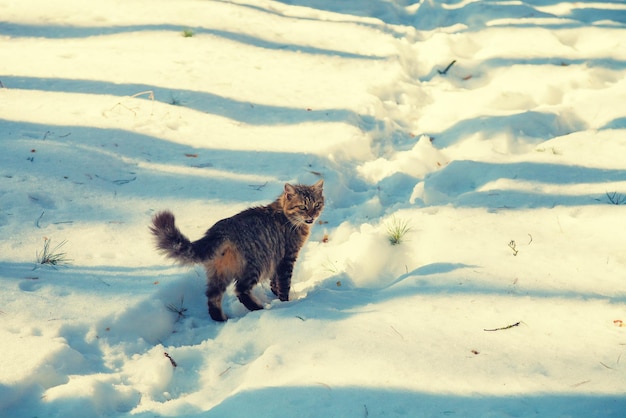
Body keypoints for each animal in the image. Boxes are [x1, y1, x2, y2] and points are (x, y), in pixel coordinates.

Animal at [151, 179, 324, 320]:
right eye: (303, 207)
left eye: (317, 204)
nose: (312, 216)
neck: (287, 217)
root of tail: (221, 230)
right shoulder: (287, 258)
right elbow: (283, 284)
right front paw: (284, 304)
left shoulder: (277, 260)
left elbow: (274, 282)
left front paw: (275, 294)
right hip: (255, 266)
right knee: (240, 290)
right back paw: (259, 309)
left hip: (220, 273)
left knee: (212, 297)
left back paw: (222, 319)